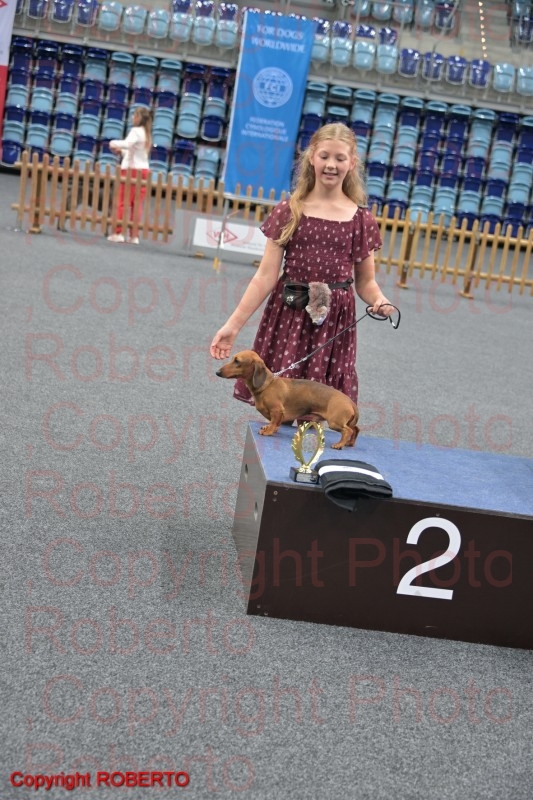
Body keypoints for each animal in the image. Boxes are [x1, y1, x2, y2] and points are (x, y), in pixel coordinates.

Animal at [216, 350, 359, 449]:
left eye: (237, 361)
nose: (217, 372)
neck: (268, 385)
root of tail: (350, 402)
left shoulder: (277, 410)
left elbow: (274, 423)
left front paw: (268, 431)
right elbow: (274, 423)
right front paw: (268, 428)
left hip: (335, 422)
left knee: (348, 430)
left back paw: (339, 444)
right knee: (356, 429)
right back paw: (350, 443)